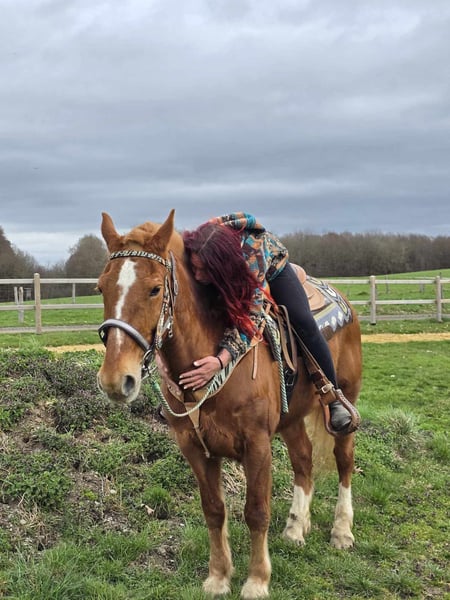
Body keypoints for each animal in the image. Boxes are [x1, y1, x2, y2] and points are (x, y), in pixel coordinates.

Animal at [96, 210, 362, 599]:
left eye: (155, 289)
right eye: (101, 287)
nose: (116, 380)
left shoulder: (257, 445)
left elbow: (256, 511)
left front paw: (257, 581)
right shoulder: (195, 448)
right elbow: (214, 511)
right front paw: (219, 576)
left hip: (344, 403)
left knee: (344, 462)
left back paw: (342, 532)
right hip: (291, 420)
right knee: (303, 460)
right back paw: (296, 528)